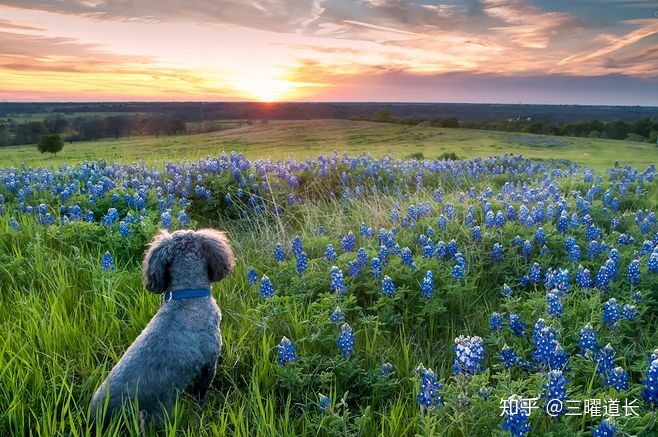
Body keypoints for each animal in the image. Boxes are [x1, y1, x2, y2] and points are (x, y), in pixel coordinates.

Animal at [88, 230, 234, 428]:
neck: (187, 296)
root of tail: (98, 418)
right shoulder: (209, 364)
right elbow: (201, 393)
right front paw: (201, 407)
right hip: (157, 415)